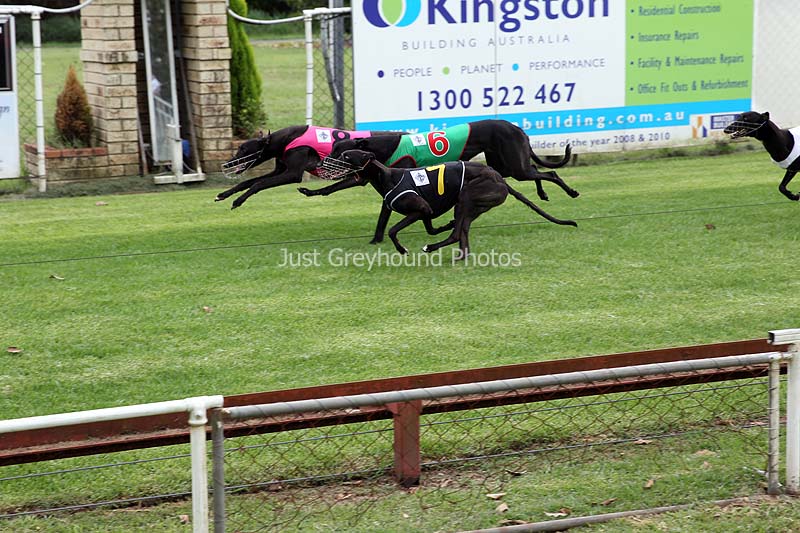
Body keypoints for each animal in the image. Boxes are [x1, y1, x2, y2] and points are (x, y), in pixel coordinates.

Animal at [214, 125, 398, 209]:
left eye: (243, 149)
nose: (228, 163)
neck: (286, 139)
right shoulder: (279, 170)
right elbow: (247, 182)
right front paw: (223, 195)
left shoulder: (293, 173)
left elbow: (259, 183)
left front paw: (238, 201)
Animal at [300, 119, 579, 244]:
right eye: (333, 149)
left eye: (339, 153)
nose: (318, 165)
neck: (381, 146)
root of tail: (515, 126)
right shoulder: (364, 177)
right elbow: (333, 187)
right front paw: (309, 191)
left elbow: (383, 214)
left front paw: (376, 240)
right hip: (505, 167)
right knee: (535, 170)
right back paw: (543, 193)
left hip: (512, 165)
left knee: (548, 173)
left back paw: (570, 192)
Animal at [330, 149, 577, 259]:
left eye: (346, 156)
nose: (326, 161)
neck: (386, 177)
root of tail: (500, 178)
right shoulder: (426, 211)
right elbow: (431, 227)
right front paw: (443, 225)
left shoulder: (420, 209)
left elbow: (392, 230)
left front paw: (402, 249)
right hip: (471, 206)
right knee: (461, 236)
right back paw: (458, 255)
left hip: (466, 196)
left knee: (458, 234)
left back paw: (432, 248)